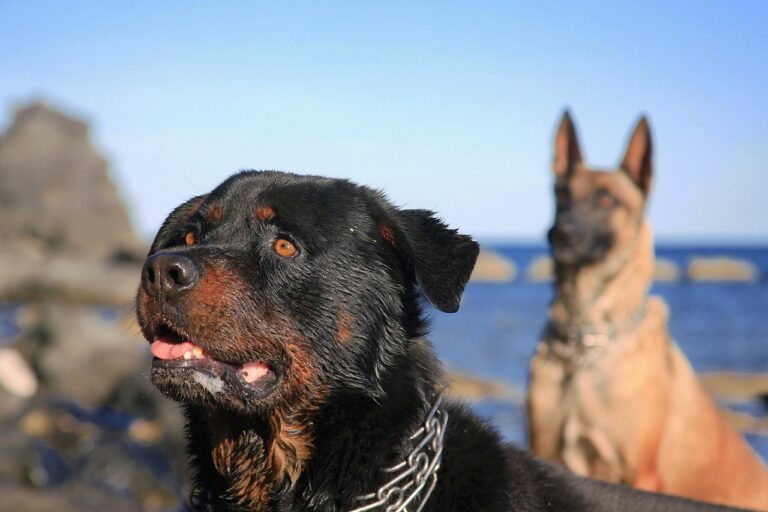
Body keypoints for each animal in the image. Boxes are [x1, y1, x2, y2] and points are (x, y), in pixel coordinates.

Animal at [524, 111, 768, 508]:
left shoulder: (641, 472)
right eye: (561, 195)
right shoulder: (545, 451)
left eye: (608, 199)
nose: (560, 234)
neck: (585, 344)